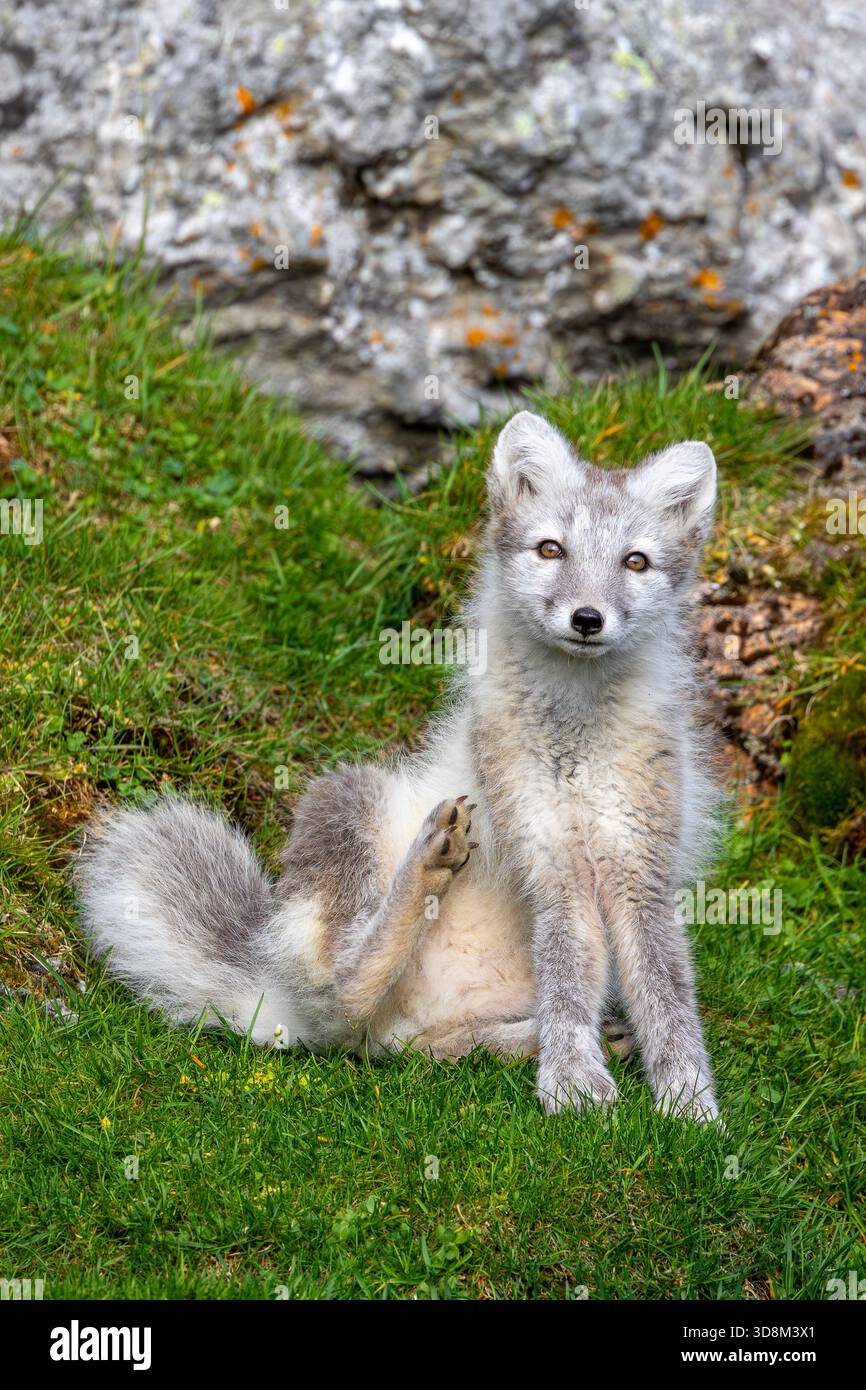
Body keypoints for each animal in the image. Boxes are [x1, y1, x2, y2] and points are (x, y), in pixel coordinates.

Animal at [78, 410, 722, 1119]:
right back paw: (429, 865)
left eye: (636, 561)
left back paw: (534, 1041)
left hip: (435, 1027)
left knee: (417, 1049)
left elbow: (666, 990)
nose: (587, 618)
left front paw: (689, 1103)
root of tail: (272, 992)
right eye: (551, 550)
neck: (574, 739)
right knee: (342, 1000)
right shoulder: (547, 852)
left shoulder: (640, 860)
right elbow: (567, 973)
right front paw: (576, 1083)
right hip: (349, 795)